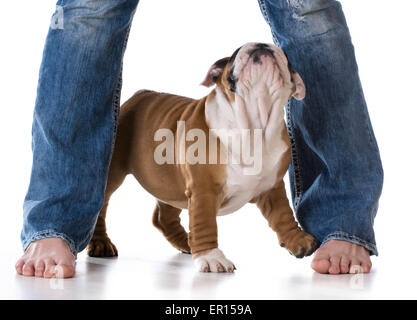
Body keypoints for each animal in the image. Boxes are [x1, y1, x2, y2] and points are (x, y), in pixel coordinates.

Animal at [86, 42, 316, 272]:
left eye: (286, 58)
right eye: (235, 54)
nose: (260, 44)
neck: (254, 124)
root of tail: (138, 95)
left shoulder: (271, 186)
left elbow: (283, 213)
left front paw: (298, 240)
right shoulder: (203, 189)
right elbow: (205, 222)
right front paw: (211, 257)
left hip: (170, 182)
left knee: (163, 217)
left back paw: (187, 243)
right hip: (113, 172)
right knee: (100, 207)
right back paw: (100, 243)